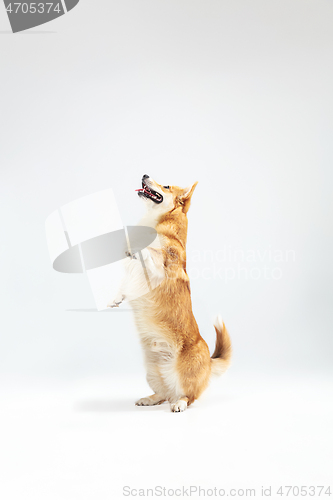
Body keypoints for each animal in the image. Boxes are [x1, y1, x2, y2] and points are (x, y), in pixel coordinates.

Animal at [107, 174, 231, 412]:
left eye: (165, 186)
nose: (145, 175)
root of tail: (209, 362)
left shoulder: (159, 267)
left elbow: (150, 252)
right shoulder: (133, 274)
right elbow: (123, 286)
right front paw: (115, 299)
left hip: (185, 372)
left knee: (188, 396)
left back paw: (180, 404)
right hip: (152, 371)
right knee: (164, 394)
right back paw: (149, 398)